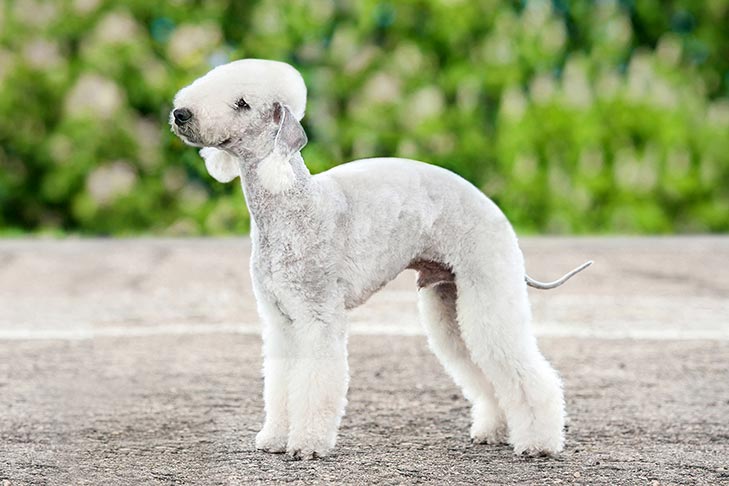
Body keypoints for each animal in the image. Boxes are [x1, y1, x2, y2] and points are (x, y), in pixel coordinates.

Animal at [168, 59, 588, 460]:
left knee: (523, 369)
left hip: (489, 290)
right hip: (450, 302)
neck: (290, 203)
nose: (180, 114)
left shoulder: (318, 316)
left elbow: (315, 383)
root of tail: (494, 210)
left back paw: (539, 443)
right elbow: (281, 383)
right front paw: (274, 438)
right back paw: (495, 431)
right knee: (480, 368)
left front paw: (307, 445)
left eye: (242, 103)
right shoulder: (280, 320)